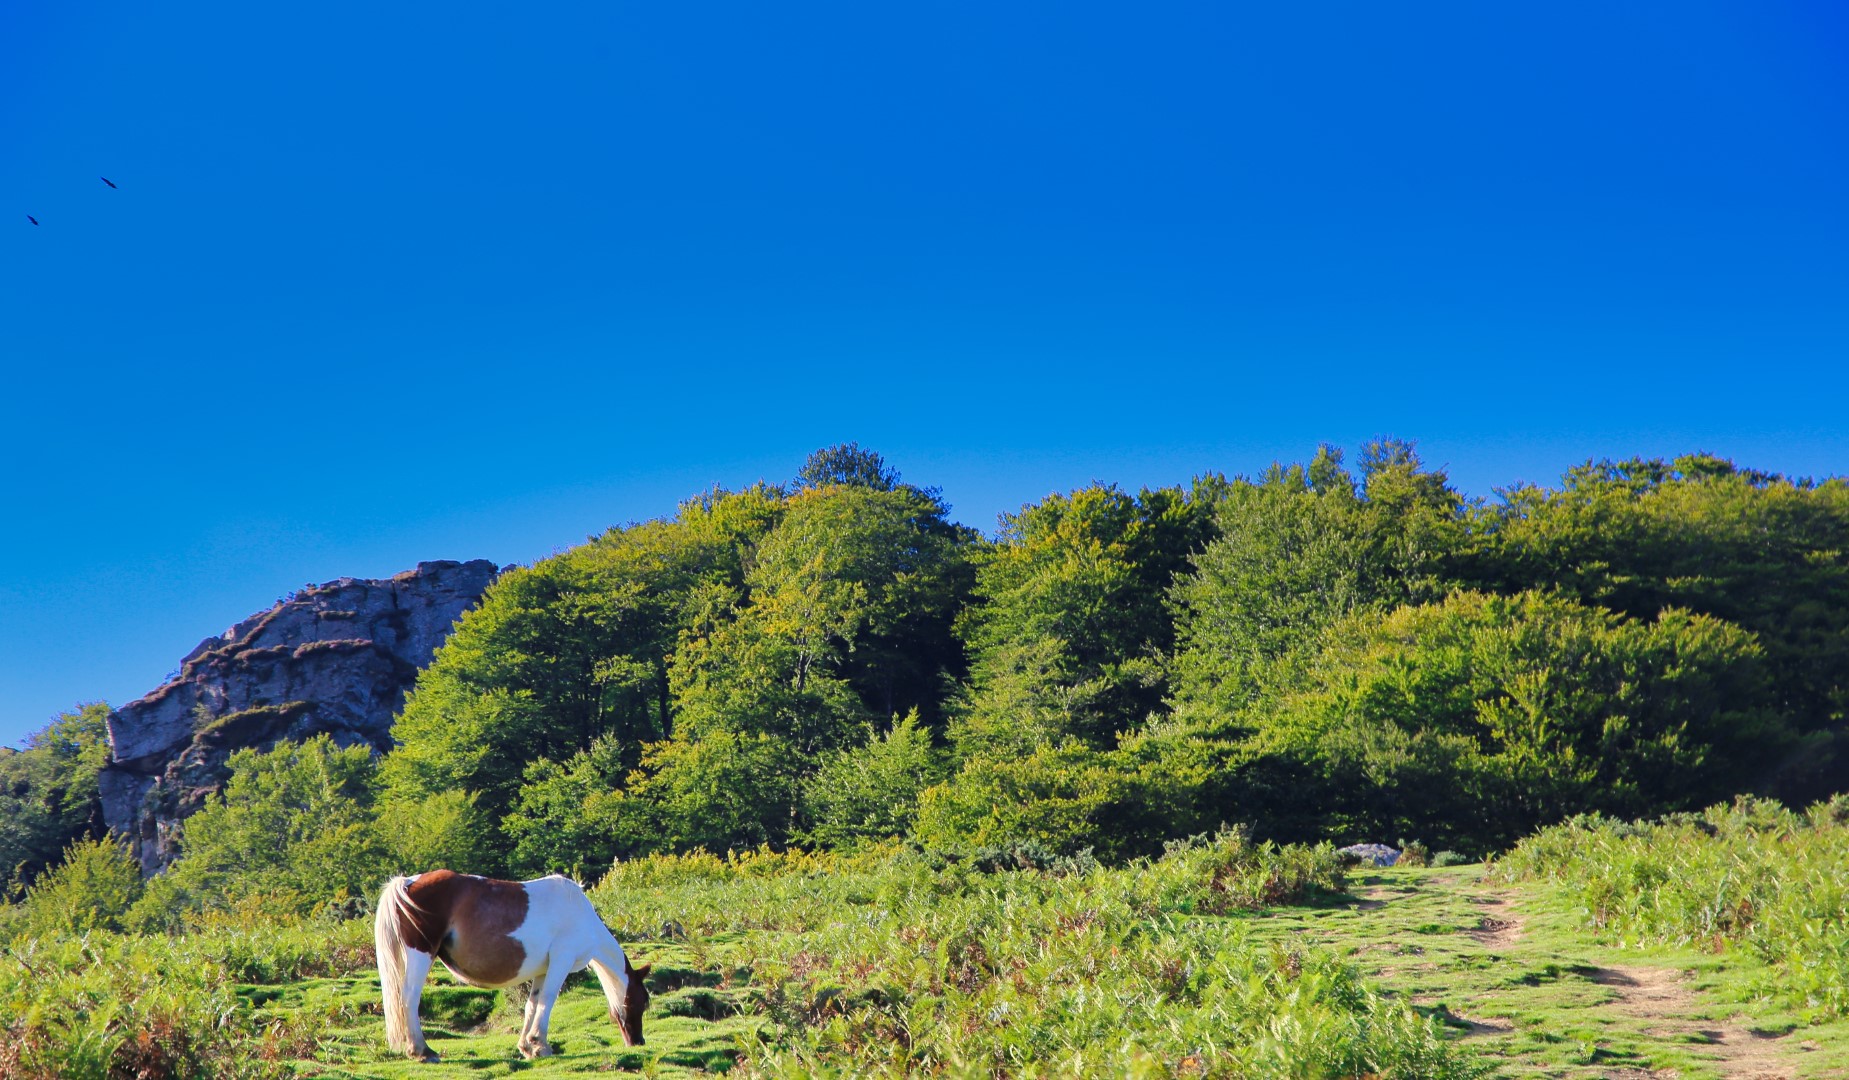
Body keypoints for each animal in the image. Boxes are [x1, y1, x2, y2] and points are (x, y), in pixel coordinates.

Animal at [373, 869, 651, 1061]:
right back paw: (422, 1050)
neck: (580, 915)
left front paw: (528, 1046)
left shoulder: (543, 970)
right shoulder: (561, 961)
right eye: (642, 1002)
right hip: (421, 954)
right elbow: (548, 1000)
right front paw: (541, 1045)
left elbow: (532, 1004)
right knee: (409, 997)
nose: (638, 1041)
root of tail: (407, 882)